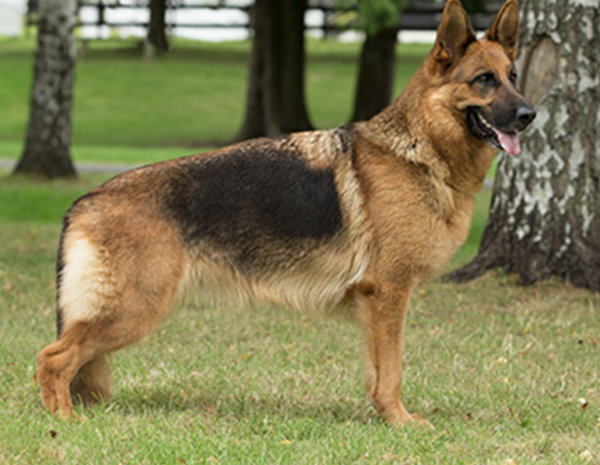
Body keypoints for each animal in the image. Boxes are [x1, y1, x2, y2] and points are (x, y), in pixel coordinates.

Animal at [37, 0, 536, 426]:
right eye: (484, 80)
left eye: (513, 75)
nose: (530, 114)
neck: (418, 152)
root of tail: (85, 200)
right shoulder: (390, 293)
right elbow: (392, 370)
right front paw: (400, 422)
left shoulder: (376, 304)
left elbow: (377, 373)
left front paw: (383, 416)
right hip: (133, 308)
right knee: (51, 358)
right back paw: (63, 422)